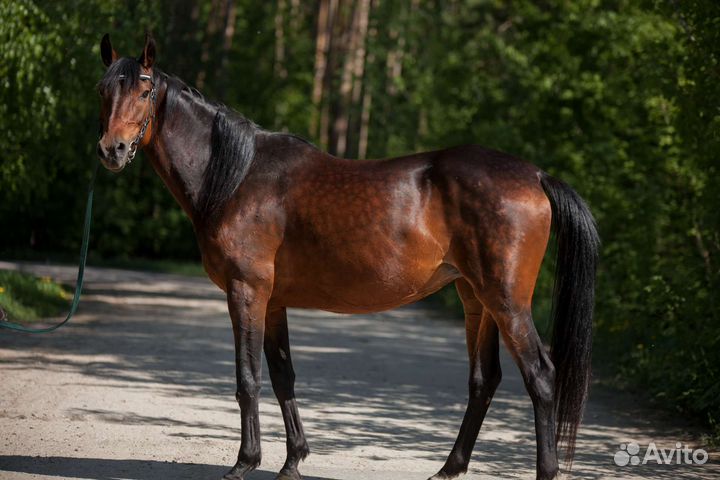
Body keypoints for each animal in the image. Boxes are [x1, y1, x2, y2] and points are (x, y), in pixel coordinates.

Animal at [96, 33, 598, 480]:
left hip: (507, 300)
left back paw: (543, 470)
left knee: (540, 376)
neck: (239, 179)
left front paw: (245, 462)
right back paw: (448, 469)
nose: (111, 150)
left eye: (144, 90)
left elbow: (248, 378)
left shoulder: (246, 291)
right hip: (476, 299)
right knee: (484, 380)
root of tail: (536, 176)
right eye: (103, 90)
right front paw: (293, 461)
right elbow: (282, 375)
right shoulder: (273, 301)